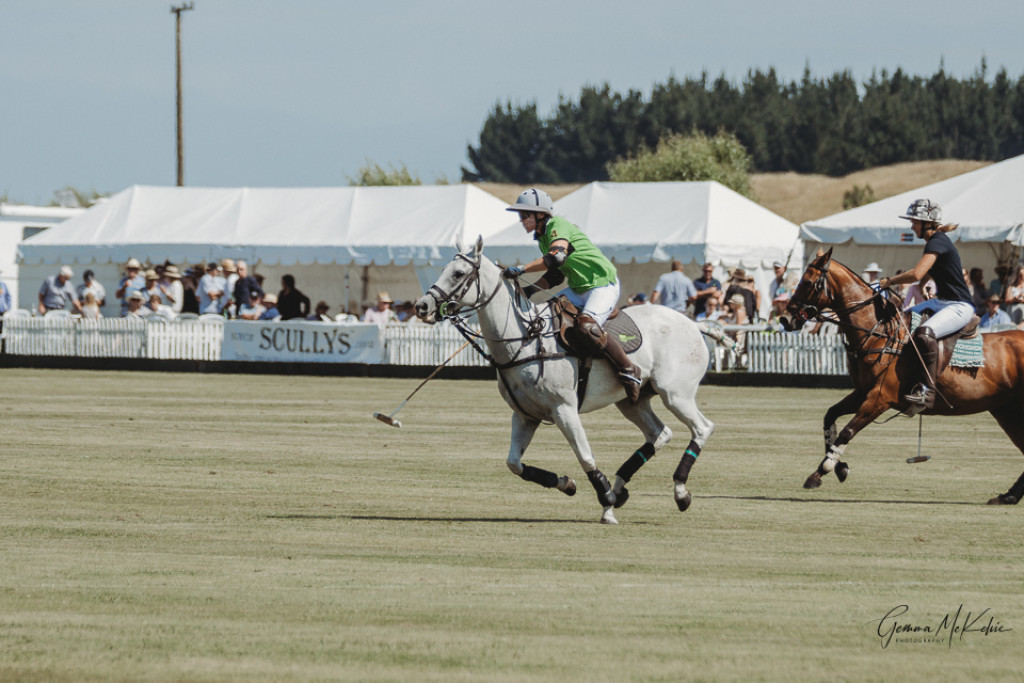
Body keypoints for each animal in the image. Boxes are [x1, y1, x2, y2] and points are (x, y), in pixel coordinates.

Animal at [414, 237, 722, 524]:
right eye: (444, 269)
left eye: (458, 273)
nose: (421, 306)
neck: (523, 340)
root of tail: (694, 324)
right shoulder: (525, 415)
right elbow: (514, 463)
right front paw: (567, 484)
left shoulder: (564, 409)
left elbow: (585, 456)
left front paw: (605, 499)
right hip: (631, 401)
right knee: (660, 433)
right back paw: (619, 490)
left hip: (675, 393)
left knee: (702, 428)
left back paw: (679, 492)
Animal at [782, 248, 1024, 505]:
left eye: (807, 282)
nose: (785, 318)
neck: (878, 333)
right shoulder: (863, 392)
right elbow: (830, 417)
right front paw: (831, 469)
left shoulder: (880, 397)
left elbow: (847, 431)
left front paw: (826, 468)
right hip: (1005, 410)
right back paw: (1008, 496)